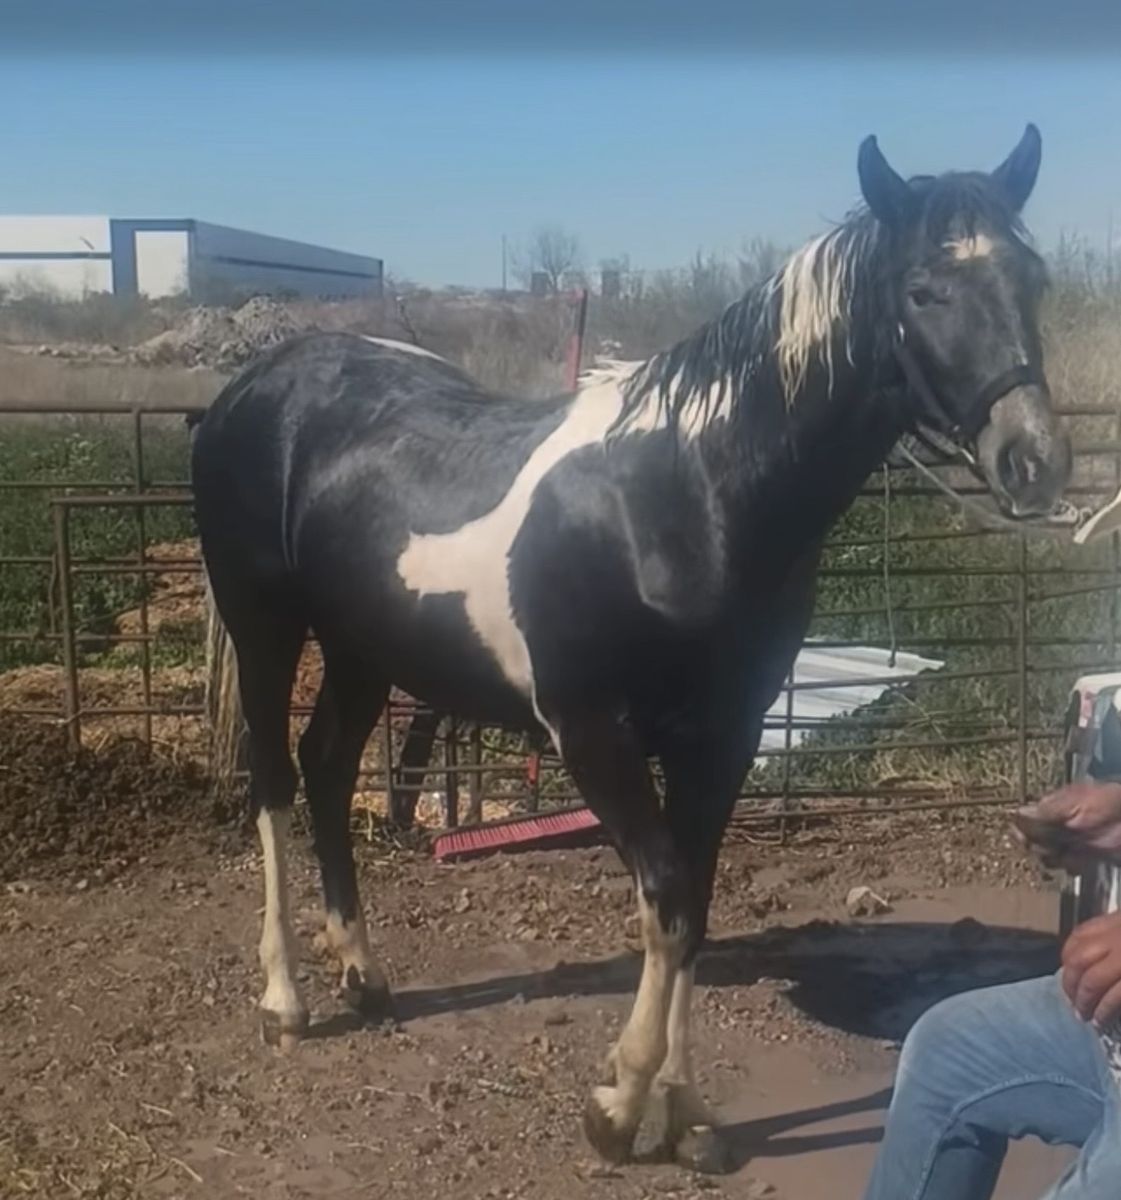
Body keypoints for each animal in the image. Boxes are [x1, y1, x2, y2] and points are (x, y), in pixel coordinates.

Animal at [190, 125, 1072, 1172]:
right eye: (923, 290)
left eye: (1031, 277)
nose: (1035, 463)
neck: (683, 499)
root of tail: (256, 383)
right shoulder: (593, 737)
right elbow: (666, 897)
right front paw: (616, 1106)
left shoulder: (721, 738)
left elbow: (693, 903)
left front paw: (686, 1116)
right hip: (267, 628)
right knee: (277, 782)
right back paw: (286, 998)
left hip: (364, 648)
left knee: (326, 768)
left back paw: (363, 974)